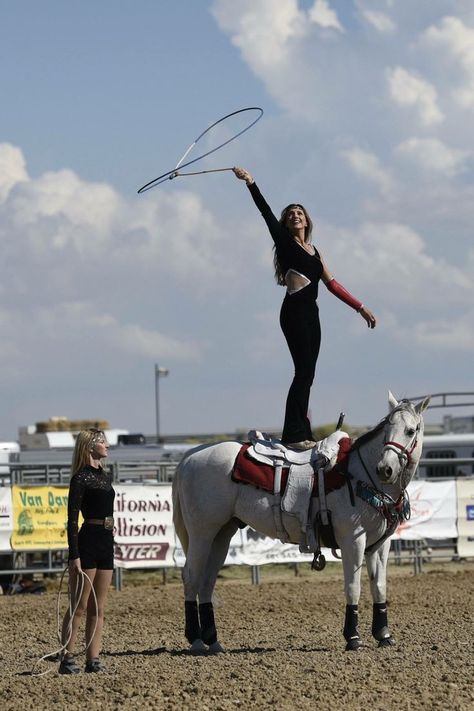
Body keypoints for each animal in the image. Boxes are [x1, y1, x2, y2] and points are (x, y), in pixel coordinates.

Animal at [173, 392, 430, 652]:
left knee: (206, 581)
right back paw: (196, 640)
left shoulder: (380, 544)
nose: (385, 469)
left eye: (410, 430)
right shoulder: (352, 540)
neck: (359, 475)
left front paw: (384, 635)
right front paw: (353, 637)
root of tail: (190, 457)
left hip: (222, 534)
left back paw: (213, 641)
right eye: (387, 428)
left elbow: (379, 586)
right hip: (202, 533)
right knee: (191, 577)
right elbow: (353, 587)